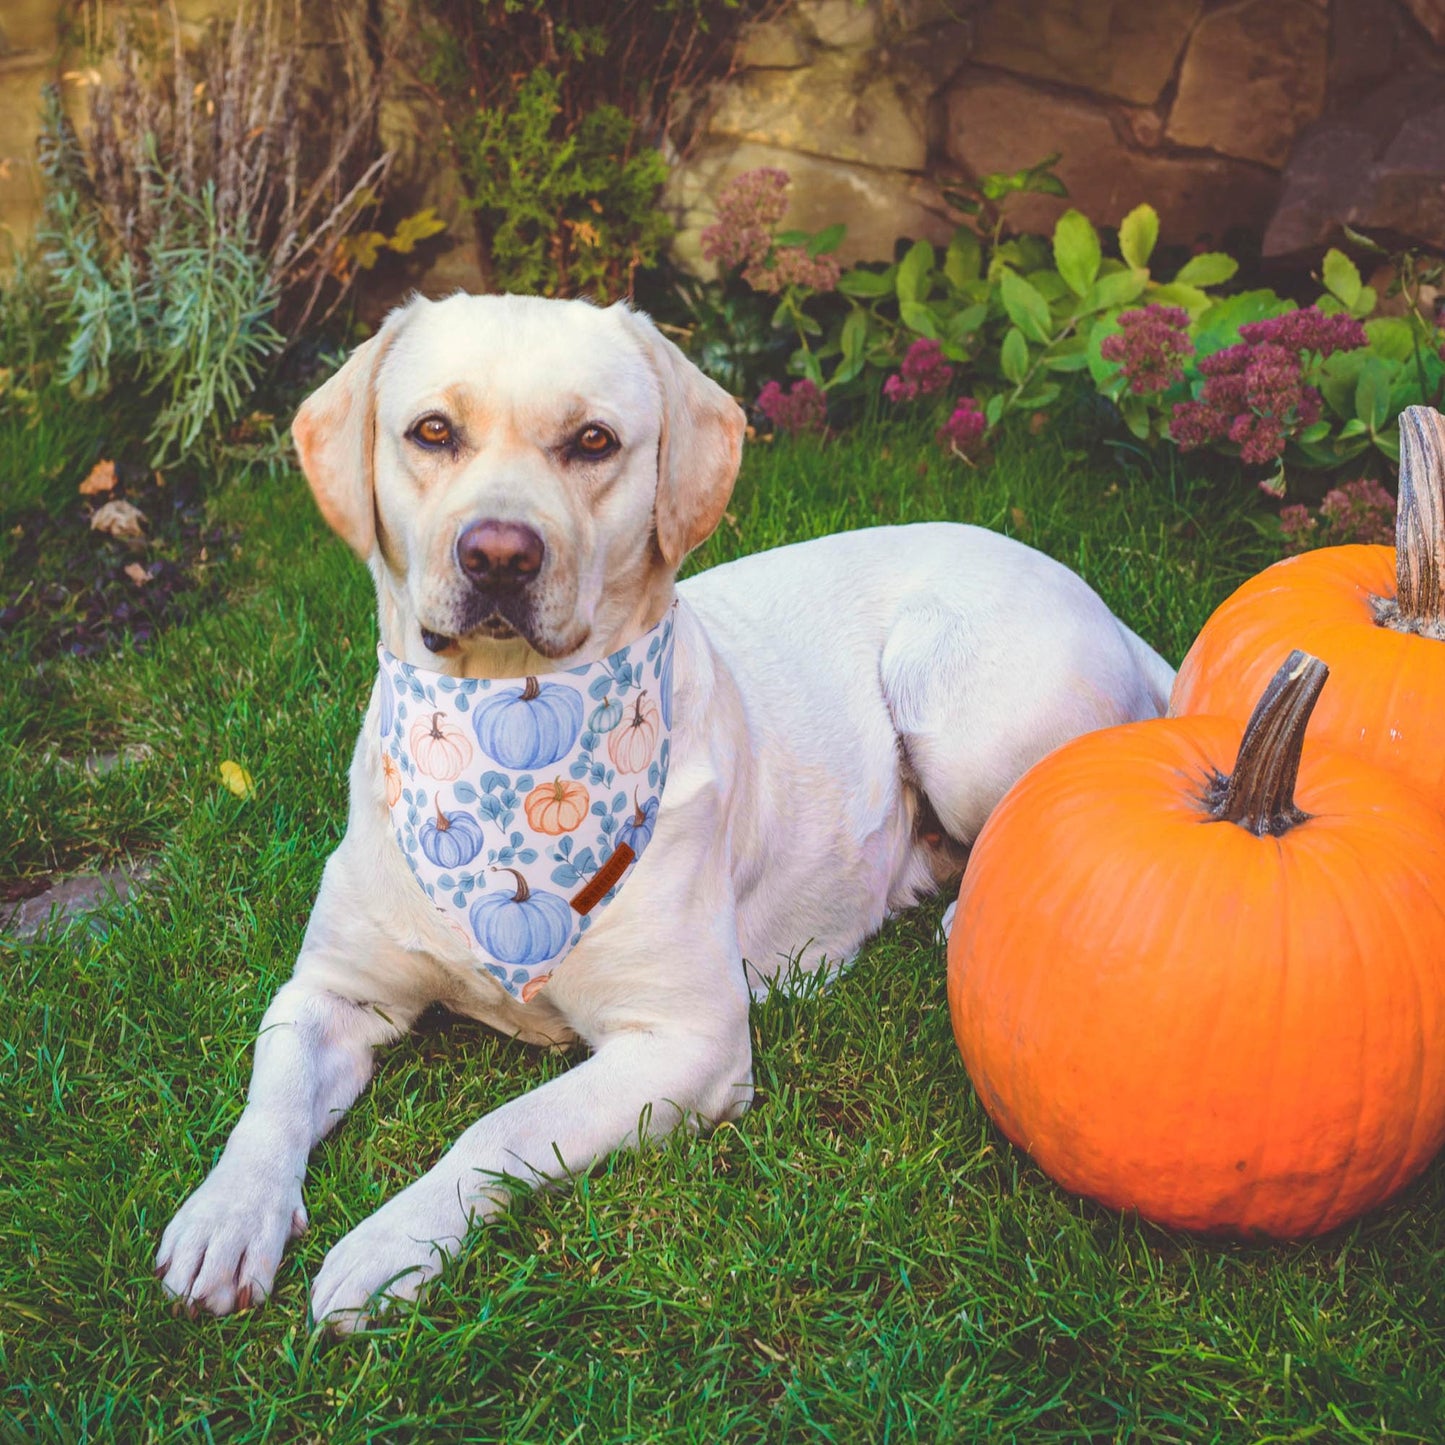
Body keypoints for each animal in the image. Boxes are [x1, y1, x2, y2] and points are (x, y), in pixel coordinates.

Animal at [155, 293, 1173, 1329]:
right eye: (432, 431)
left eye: (593, 440)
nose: (497, 554)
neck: (496, 721)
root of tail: (1089, 593)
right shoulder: (330, 989)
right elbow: (271, 1091)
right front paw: (226, 1215)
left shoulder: (688, 1039)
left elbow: (503, 1123)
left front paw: (389, 1243)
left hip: (952, 700)